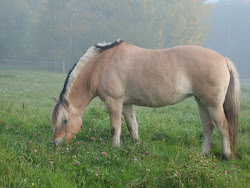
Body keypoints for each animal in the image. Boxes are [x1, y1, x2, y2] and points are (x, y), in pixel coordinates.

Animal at [49, 39, 239, 159]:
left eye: (64, 120)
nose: (55, 143)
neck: (102, 64)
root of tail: (223, 59)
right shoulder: (126, 104)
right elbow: (132, 125)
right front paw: (135, 144)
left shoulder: (114, 101)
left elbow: (115, 128)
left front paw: (114, 148)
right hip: (202, 102)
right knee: (208, 127)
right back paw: (203, 154)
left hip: (213, 104)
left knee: (223, 126)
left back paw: (226, 155)